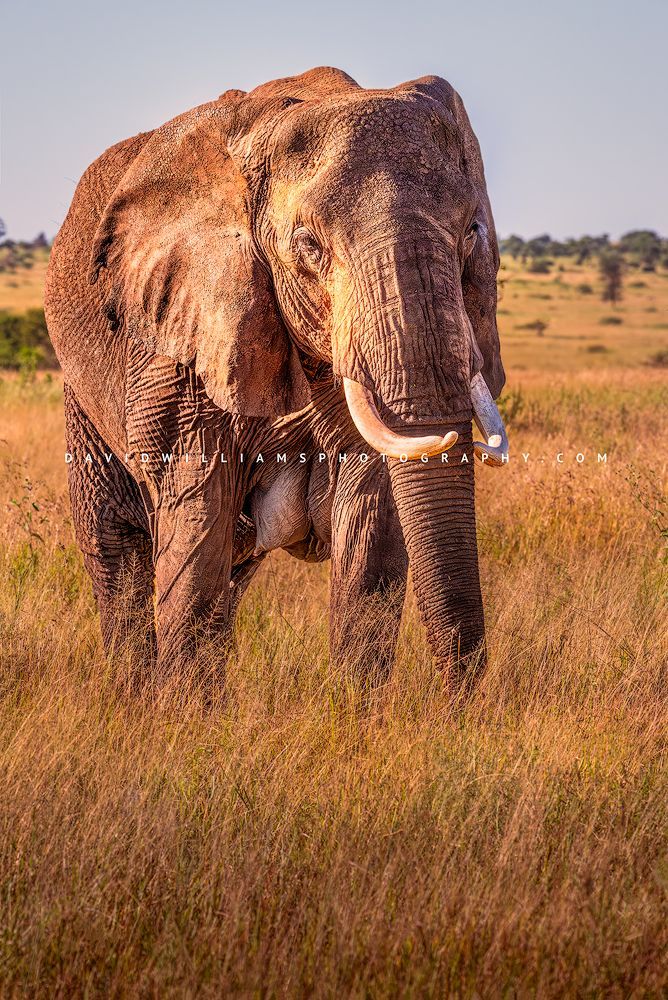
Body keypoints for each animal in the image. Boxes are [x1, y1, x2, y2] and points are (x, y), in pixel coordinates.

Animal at [45, 66, 508, 687]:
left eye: (472, 233)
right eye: (308, 245)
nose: (457, 699)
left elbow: (372, 519)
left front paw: (354, 705)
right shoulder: (183, 341)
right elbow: (197, 511)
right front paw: (181, 712)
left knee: (234, 564)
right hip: (82, 389)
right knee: (116, 544)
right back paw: (133, 694)